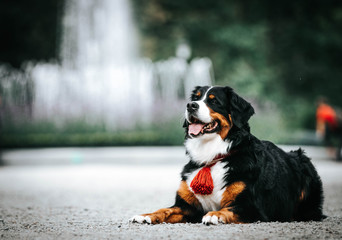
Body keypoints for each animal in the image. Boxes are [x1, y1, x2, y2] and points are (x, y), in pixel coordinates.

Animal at [130, 85, 324, 224]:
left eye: (214, 101)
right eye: (195, 98)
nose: (190, 105)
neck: (212, 156)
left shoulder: (252, 207)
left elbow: (230, 209)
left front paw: (215, 215)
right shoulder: (187, 207)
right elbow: (166, 209)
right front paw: (146, 215)